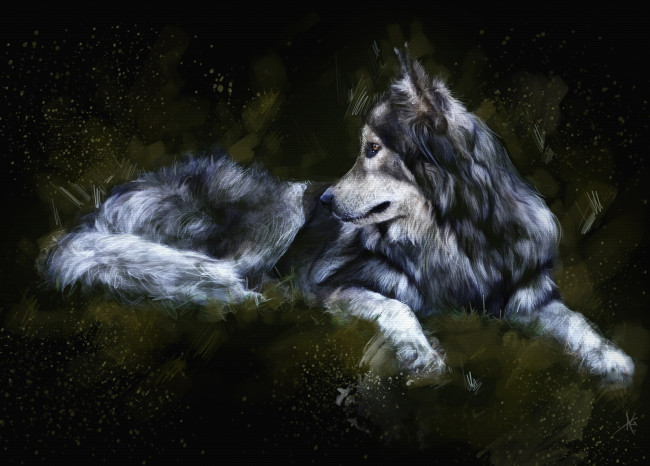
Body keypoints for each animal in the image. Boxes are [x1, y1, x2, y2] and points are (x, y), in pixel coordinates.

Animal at [39, 48, 634, 384]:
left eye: (372, 149)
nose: (324, 202)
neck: (452, 237)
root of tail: (108, 205)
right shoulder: (331, 287)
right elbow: (398, 308)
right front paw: (421, 353)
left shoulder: (527, 296)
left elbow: (577, 323)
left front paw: (611, 359)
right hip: (276, 214)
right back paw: (239, 296)